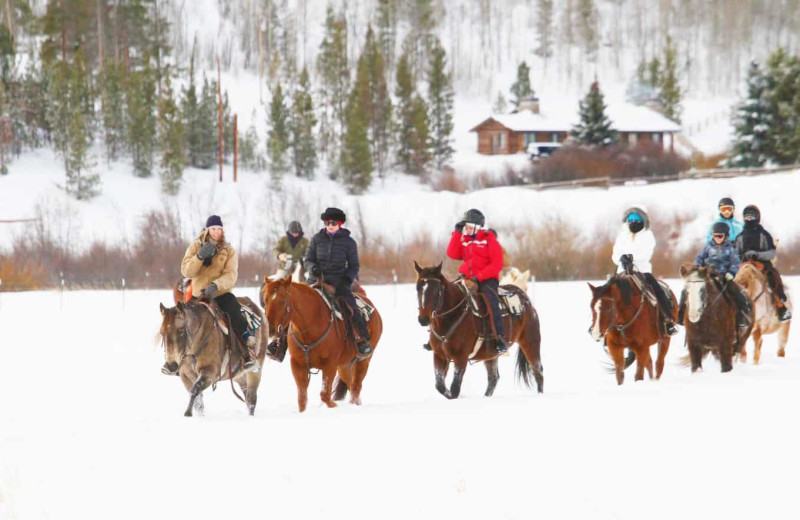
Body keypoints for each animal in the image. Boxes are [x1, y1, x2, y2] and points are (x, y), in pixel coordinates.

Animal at [260, 278, 382, 412]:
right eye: (265, 300)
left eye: (282, 302)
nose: (270, 330)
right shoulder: (297, 365)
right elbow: (302, 398)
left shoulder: (330, 365)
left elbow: (325, 395)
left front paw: (333, 405)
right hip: (344, 365)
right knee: (350, 383)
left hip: (363, 361)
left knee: (356, 386)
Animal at [412, 260, 544, 398]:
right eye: (418, 288)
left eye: (436, 289)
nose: (423, 319)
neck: (453, 316)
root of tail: (525, 299)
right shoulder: (439, 356)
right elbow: (440, 386)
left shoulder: (461, 358)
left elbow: (454, 388)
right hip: (491, 354)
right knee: (493, 378)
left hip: (530, 342)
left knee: (538, 371)